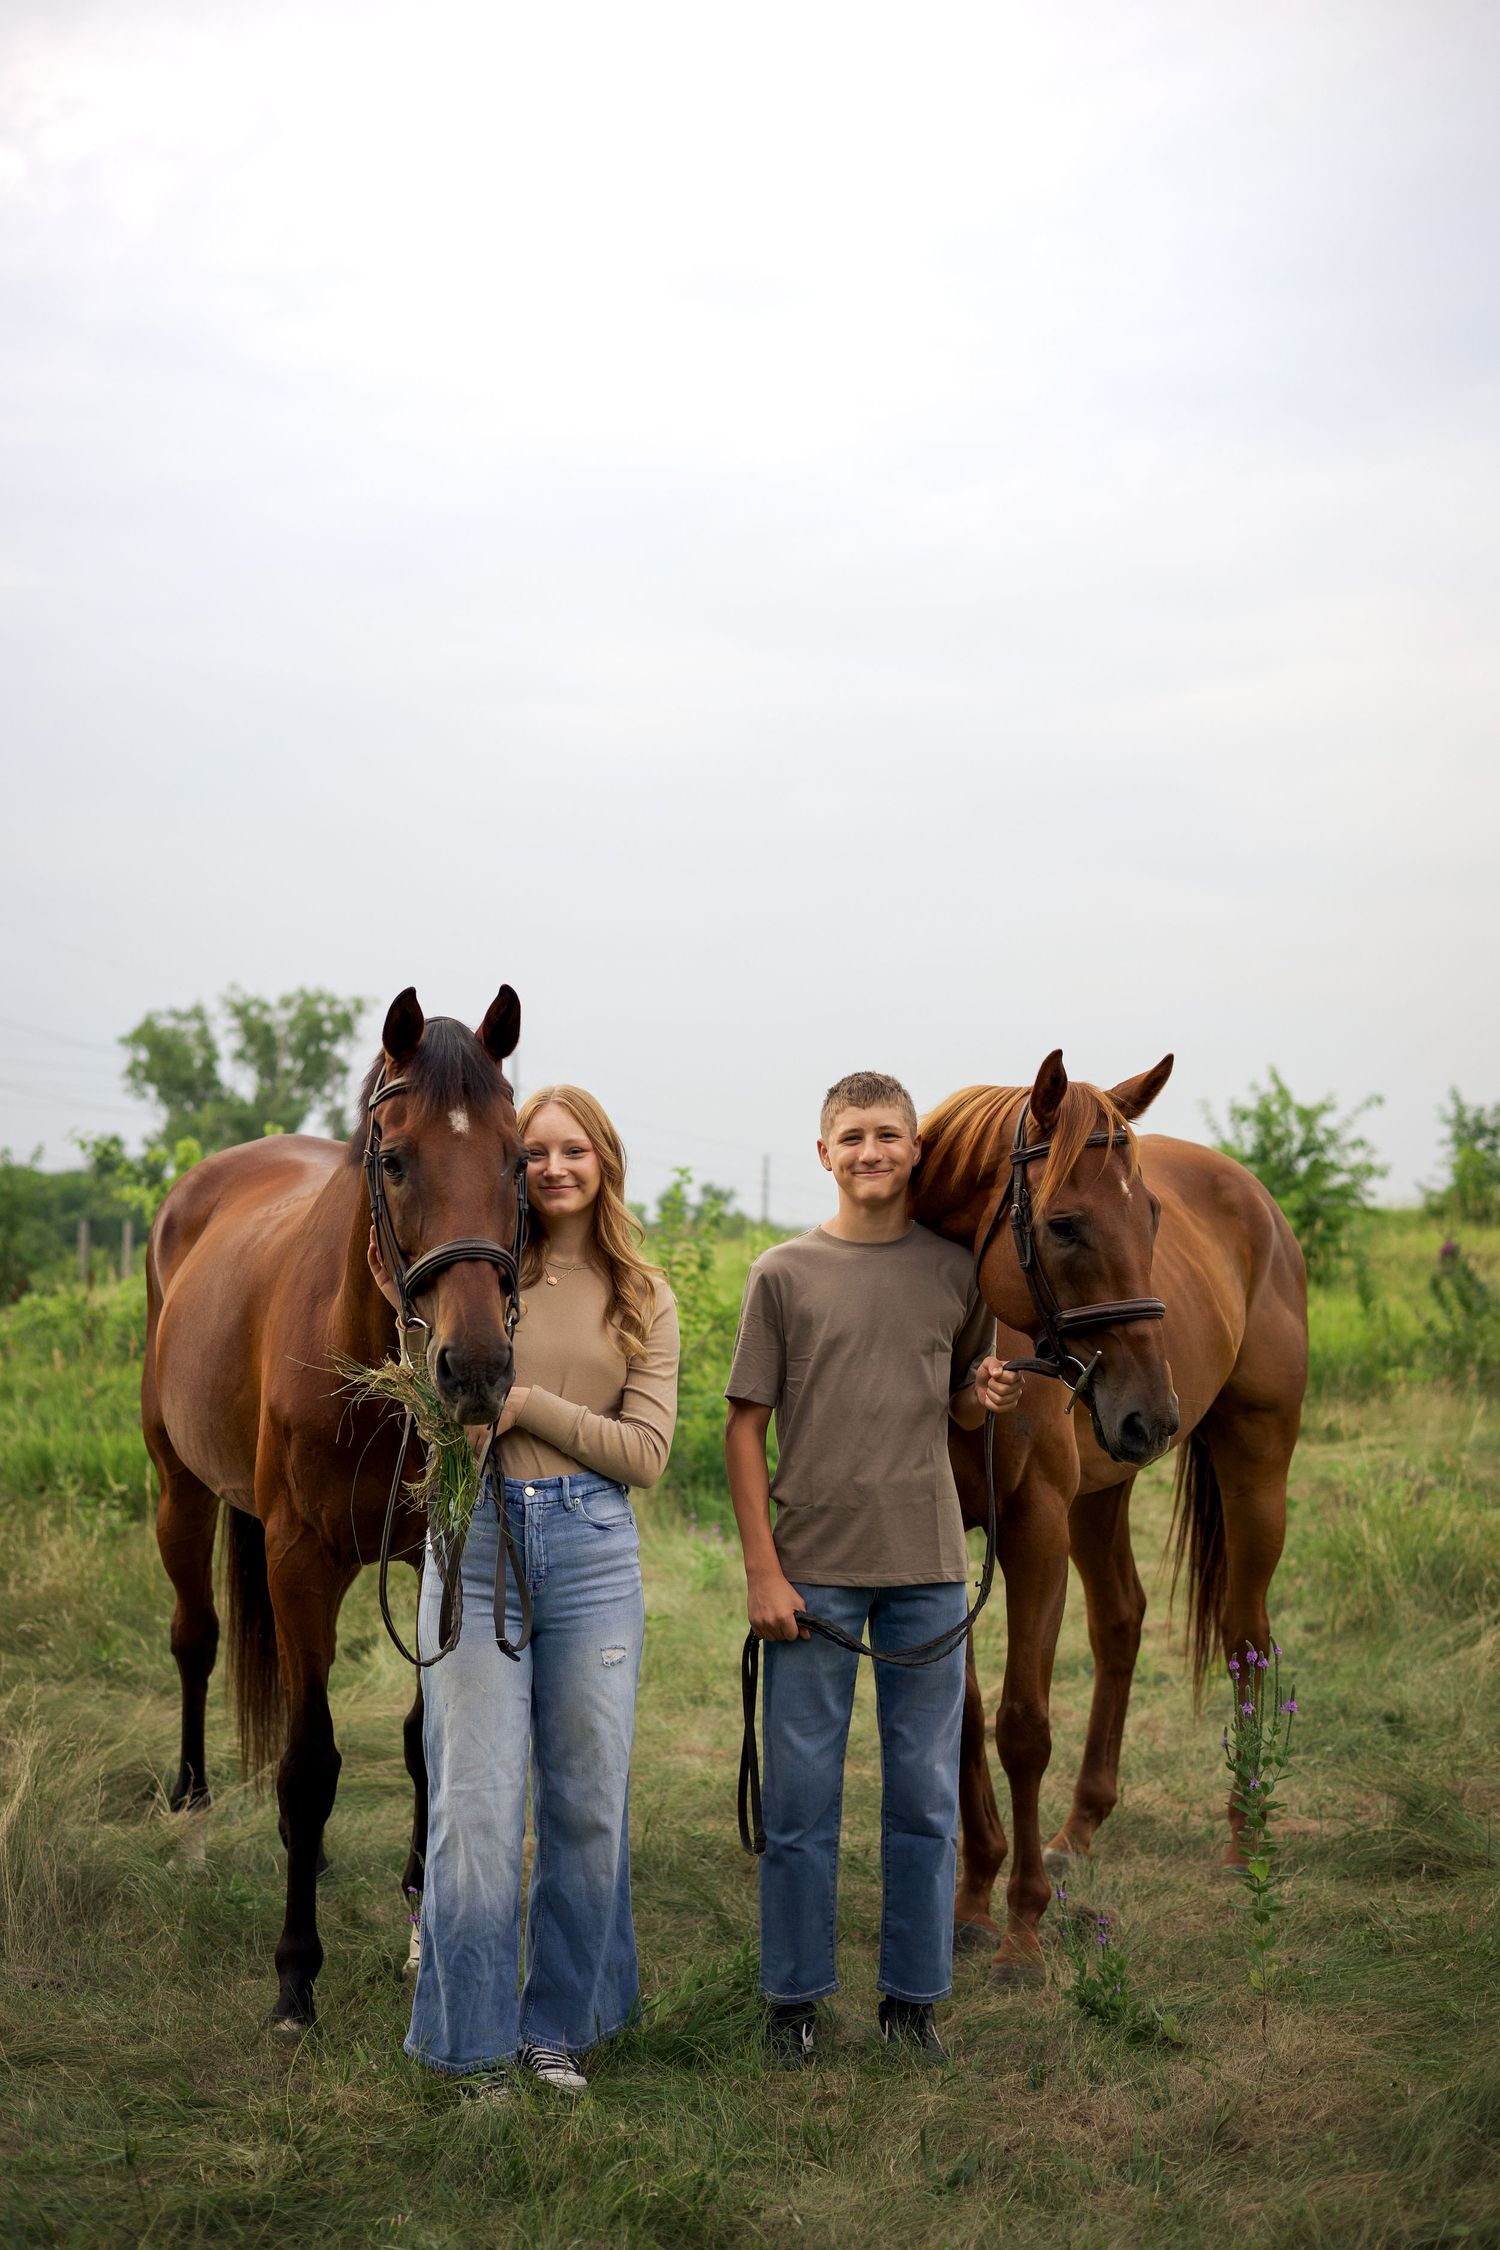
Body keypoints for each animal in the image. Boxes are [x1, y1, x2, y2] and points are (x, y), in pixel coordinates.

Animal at [141, 985, 525, 2030]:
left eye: (519, 1160)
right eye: (393, 1159)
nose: (476, 1369)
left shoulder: (437, 1555)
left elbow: (424, 1744)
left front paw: (422, 1910)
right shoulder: (301, 1560)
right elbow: (309, 1762)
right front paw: (294, 1974)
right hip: (181, 1492)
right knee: (196, 1640)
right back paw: (191, 1812)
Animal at [912, 1049, 1307, 1982]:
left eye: (1152, 1216)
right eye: (1063, 1225)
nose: (1153, 1415)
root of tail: (1260, 1203)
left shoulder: (1034, 1531)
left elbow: (1022, 1726)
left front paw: (1021, 1928)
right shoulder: (950, 1544)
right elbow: (966, 1719)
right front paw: (972, 1900)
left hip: (1255, 1461)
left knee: (1245, 1634)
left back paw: (1244, 1839)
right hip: (1106, 1489)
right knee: (1122, 1620)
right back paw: (1079, 1828)